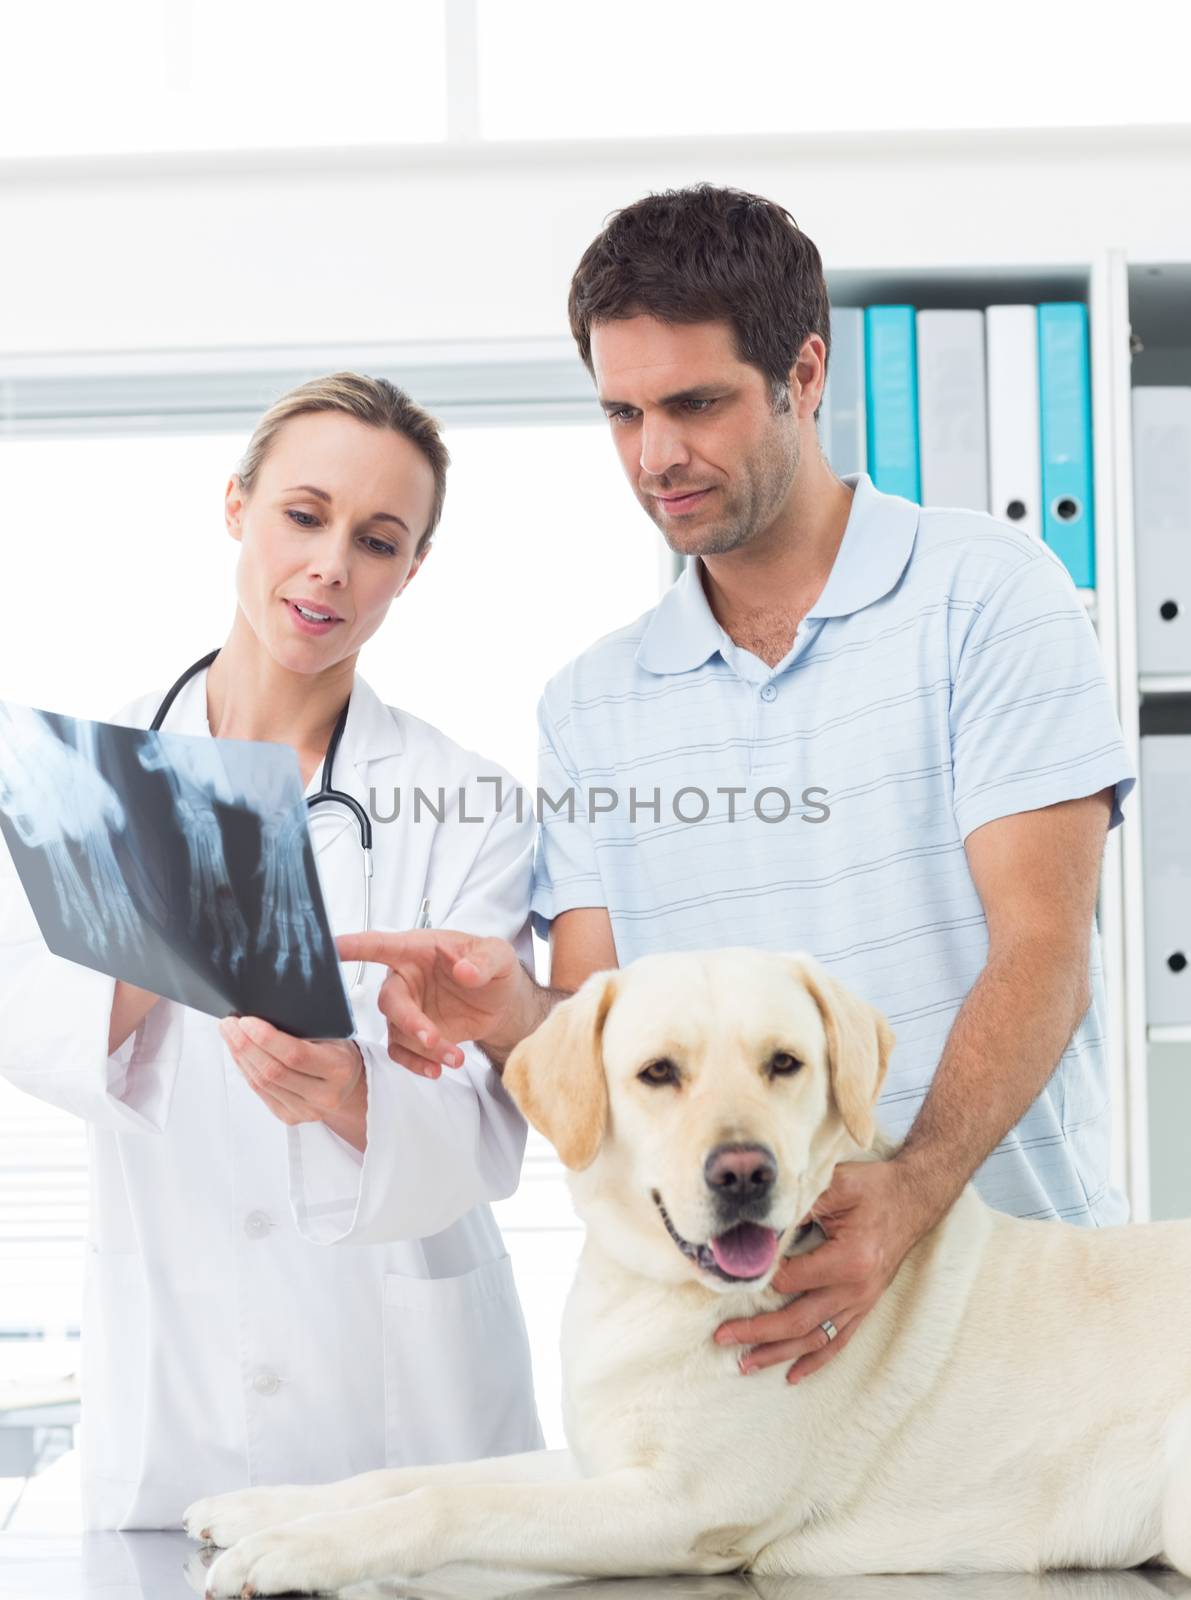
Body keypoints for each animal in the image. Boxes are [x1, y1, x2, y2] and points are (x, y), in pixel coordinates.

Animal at [184, 947, 1191, 1587]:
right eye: (657, 1073)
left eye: (785, 1063)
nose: (744, 1173)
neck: (655, 1294)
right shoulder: (595, 1463)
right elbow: (410, 1475)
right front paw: (266, 1508)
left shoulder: (675, 1508)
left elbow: (438, 1506)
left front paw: (294, 1553)